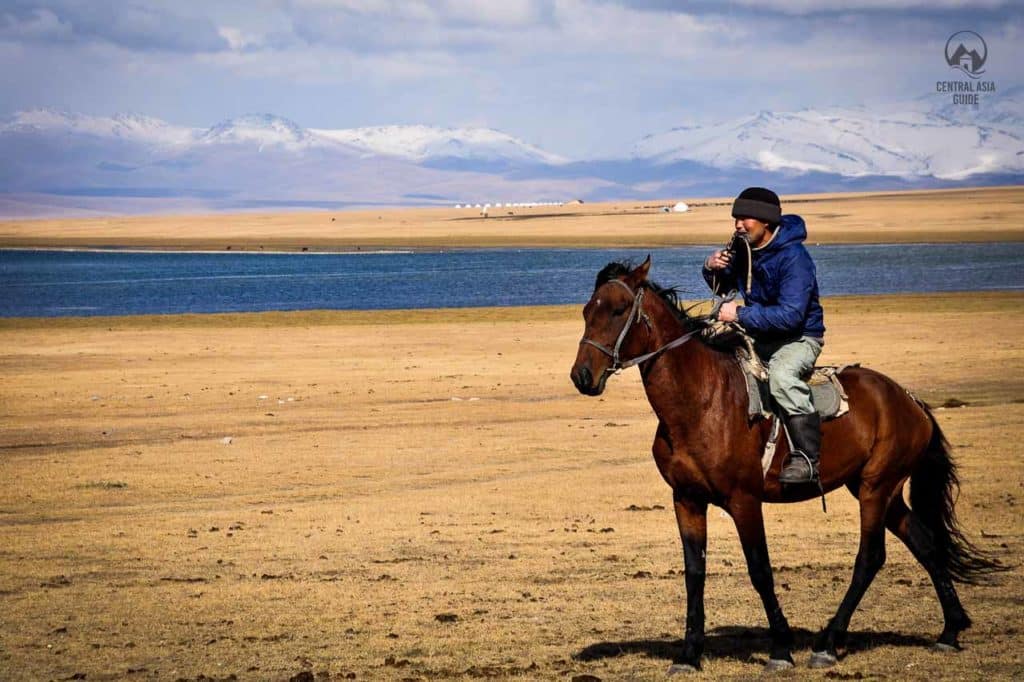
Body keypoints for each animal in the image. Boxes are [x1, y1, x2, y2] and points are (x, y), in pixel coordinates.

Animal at [569, 256, 1002, 674]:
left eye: (619, 310)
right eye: (588, 310)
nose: (582, 376)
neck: (700, 402)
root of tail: (910, 401)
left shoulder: (744, 501)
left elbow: (760, 570)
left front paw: (780, 649)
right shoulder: (687, 501)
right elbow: (695, 574)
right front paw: (689, 655)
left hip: (875, 489)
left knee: (870, 557)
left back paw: (829, 642)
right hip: (883, 490)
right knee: (924, 543)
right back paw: (950, 630)